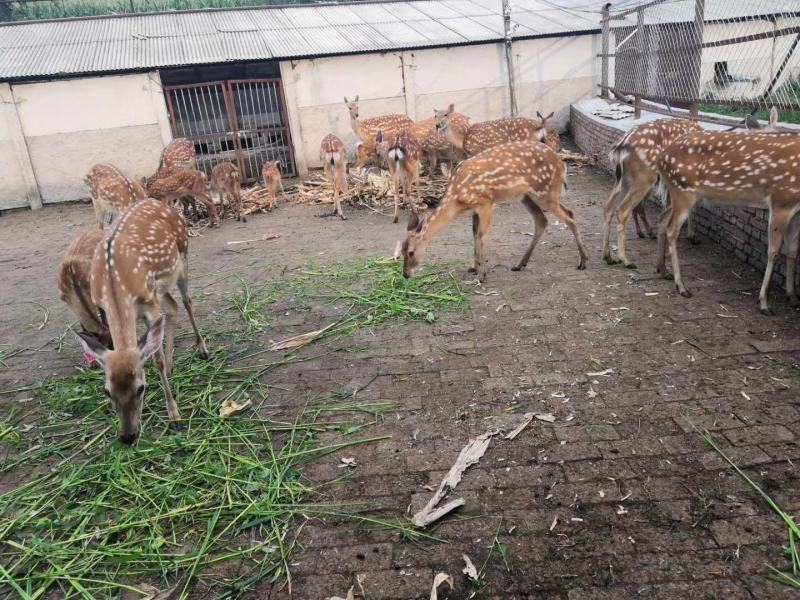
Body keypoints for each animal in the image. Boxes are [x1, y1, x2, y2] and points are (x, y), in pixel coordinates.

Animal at [75, 199, 209, 443]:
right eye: (107, 391)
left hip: (183, 259)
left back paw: (202, 348)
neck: (116, 287)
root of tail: (158, 202)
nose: (128, 436)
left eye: (141, 388)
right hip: (159, 288)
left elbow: (156, 359)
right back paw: (172, 365)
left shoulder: (149, 304)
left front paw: (174, 416)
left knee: (187, 301)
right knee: (173, 307)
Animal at [402, 141, 588, 282]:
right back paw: (520, 264)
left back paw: (583, 261)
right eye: (402, 251)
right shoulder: (475, 210)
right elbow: (474, 233)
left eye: (411, 252)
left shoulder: (486, 203)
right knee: (546, 218)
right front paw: (474, 267)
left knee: (569, 218)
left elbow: (482, 235)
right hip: (527, 195)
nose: (405, 274)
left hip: (545, 191)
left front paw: (482, 274)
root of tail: (561, 165)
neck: (456, 199)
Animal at [655, 124, 800, 315]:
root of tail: (660, 156)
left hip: (682, 192)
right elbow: (774, 252)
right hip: (683, 189)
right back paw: (682, 287)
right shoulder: (780, 200)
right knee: (672, 230)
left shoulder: (796, 209)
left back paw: (662, 270)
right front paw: (764, 303)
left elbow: (792, 251)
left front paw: (792, 296)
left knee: (662, 219)